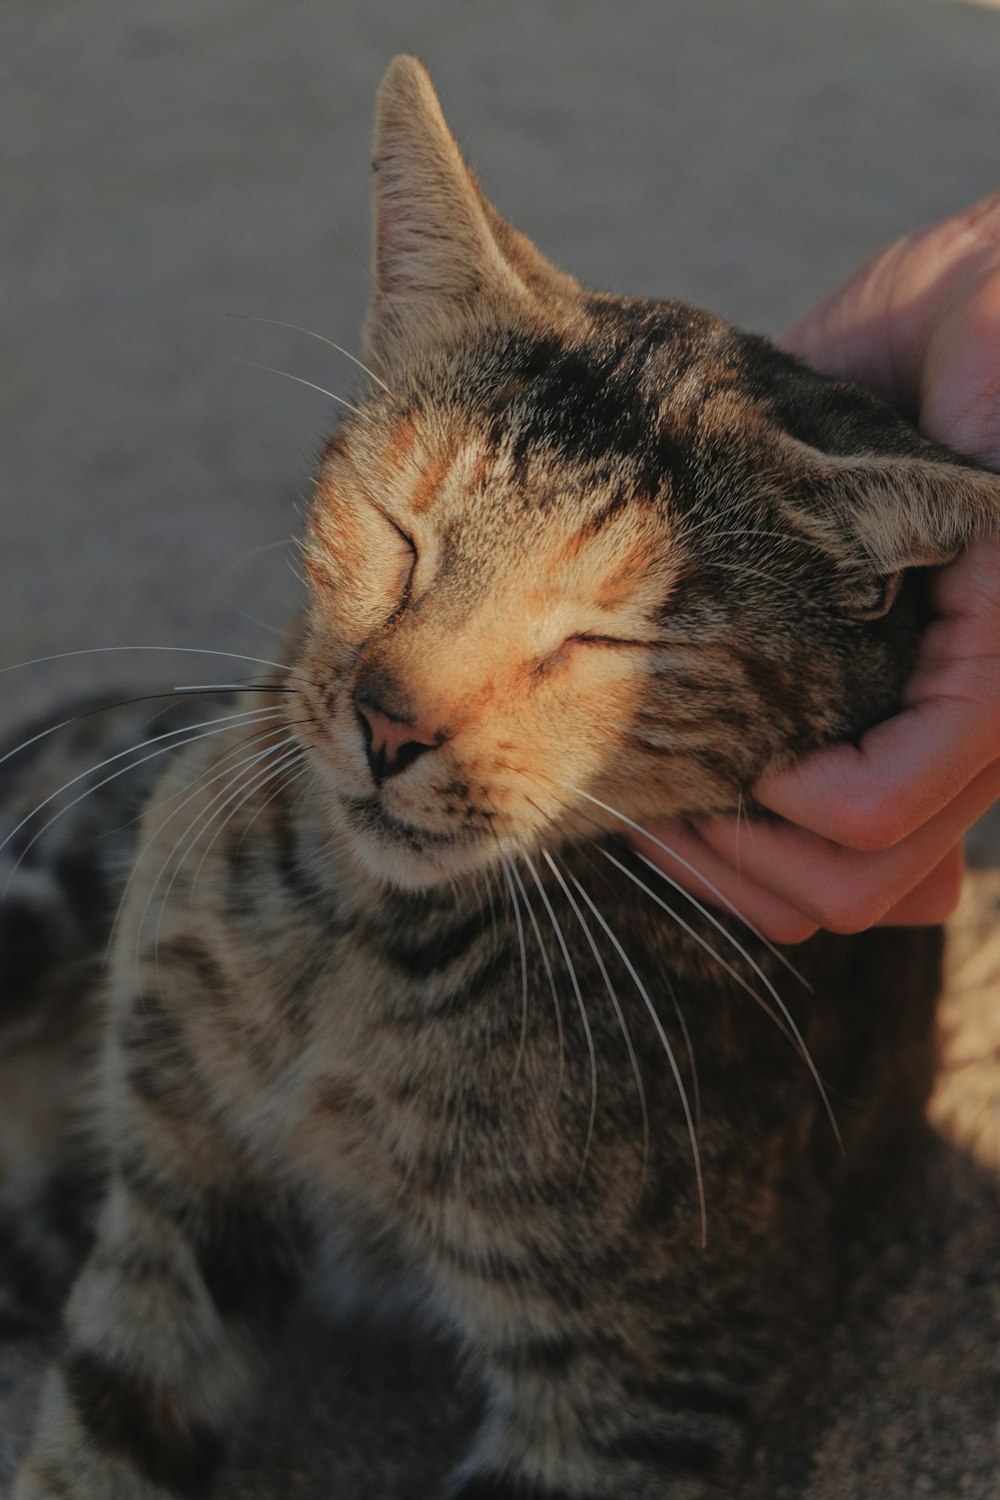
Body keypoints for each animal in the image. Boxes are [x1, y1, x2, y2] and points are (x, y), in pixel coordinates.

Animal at [7, 49, 1000, 1500]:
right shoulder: (174, 1192)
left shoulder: (646, 1375)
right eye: (397, 527)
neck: (359, 953)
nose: (391, 725)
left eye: (609, 637)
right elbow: (95, 1441)